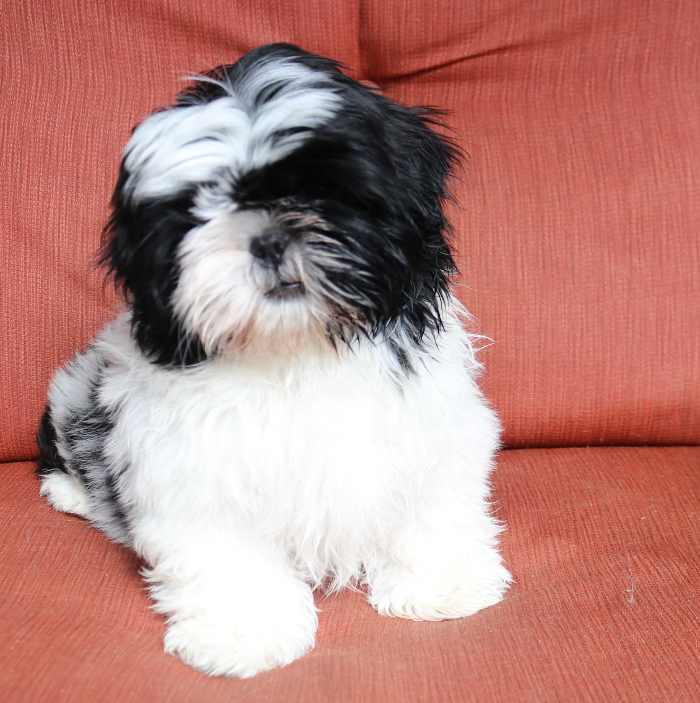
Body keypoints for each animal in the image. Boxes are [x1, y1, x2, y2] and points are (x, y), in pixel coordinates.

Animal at [37, 42, 508, 676]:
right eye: (196, 210)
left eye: (324, 190)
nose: (267, 240)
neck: (296, 349)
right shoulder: (191, 467)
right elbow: (226, 552)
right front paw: (245, 631)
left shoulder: (431, 426)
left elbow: (433, 503)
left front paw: (442, 583)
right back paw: (70, 492)